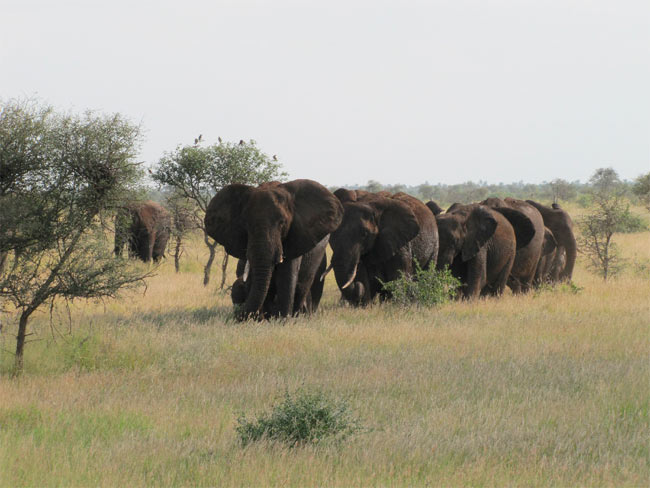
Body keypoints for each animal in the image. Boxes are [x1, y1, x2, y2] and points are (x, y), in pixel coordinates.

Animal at [205, 179, 342, 320]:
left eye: (282, 223)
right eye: (246, 224)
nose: (239, 313)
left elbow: (287, 275)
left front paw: (282, 320)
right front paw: (266, 318)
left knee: (302, 286)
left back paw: (296, 317)